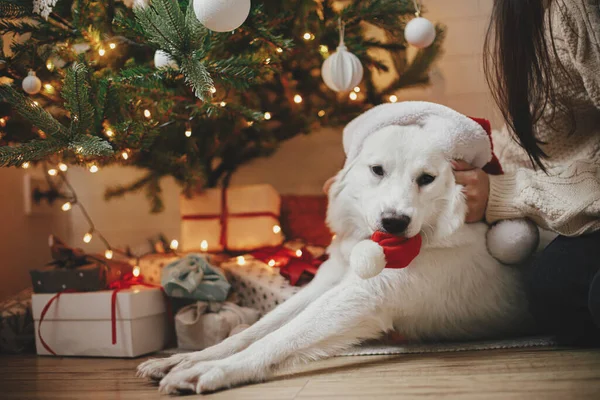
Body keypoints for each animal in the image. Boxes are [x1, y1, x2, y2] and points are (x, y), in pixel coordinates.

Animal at [136, 119, 528, 394]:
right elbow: (254, 331)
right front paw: (186, 358)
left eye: (427, 178)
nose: (395, 222)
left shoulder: (359, 297)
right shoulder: (325, 285)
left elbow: (277, 338)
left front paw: (212, 370)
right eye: (377, 170)